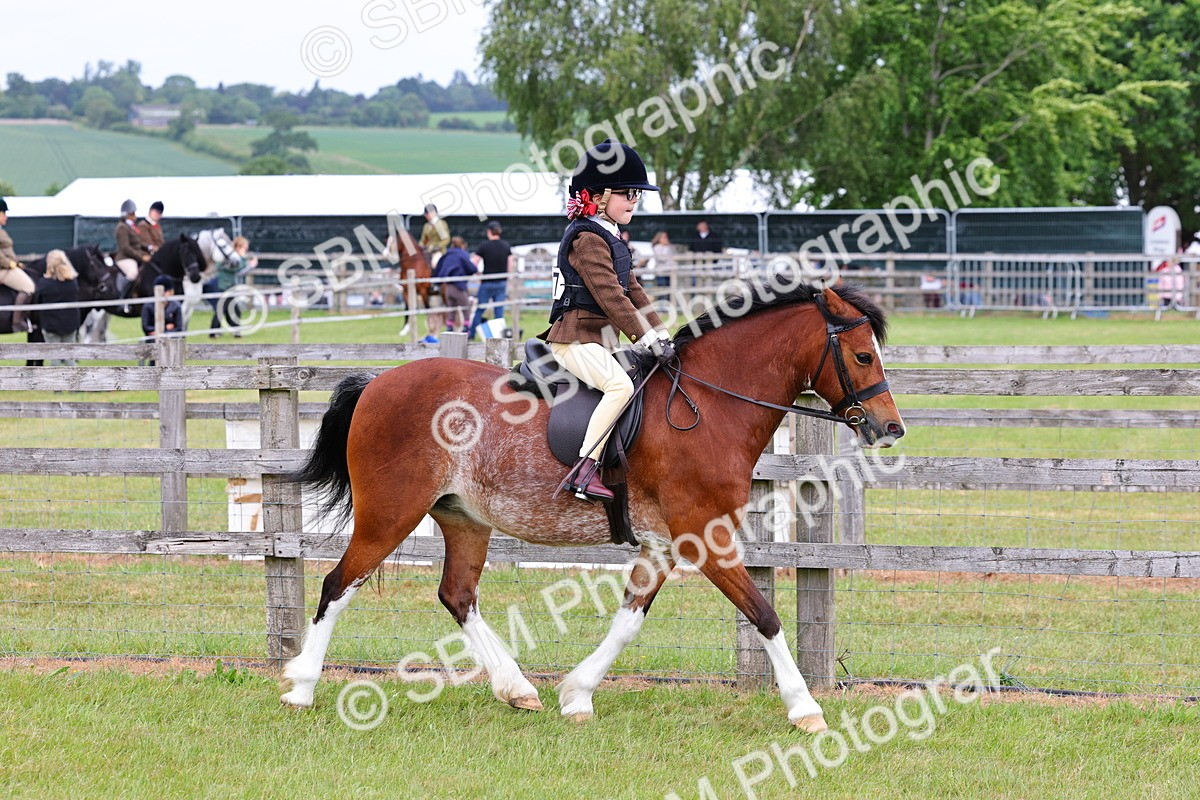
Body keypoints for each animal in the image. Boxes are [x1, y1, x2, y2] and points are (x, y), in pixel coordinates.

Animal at [280, 281, 906, 732]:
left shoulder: (664, 544)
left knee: (457, 596)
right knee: (338, 584)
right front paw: (806, 710)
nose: (890, 428)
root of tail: (377, 384)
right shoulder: (705, 536)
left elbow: (628, 622)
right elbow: (765, 615)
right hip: (390, 515)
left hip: (465, 519)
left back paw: (517, 688)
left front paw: (577, 694)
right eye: (860, 356)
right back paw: (301, 687)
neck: (709, 405)